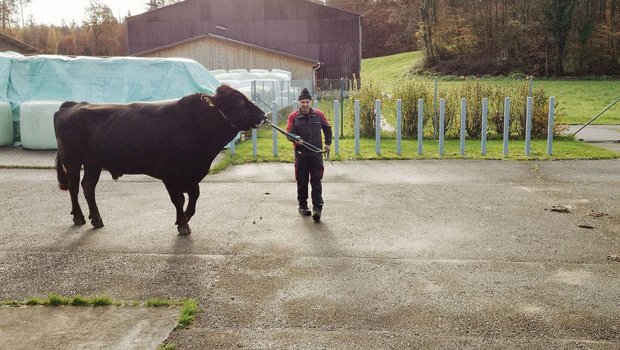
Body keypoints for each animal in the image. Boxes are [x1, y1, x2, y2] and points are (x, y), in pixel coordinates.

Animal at [53, 83, 264, 234]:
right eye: (239, 102)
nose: (262, 114)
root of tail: (72, 104)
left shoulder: (191, 174)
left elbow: (194, 195)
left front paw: (185, 217)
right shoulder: (170, 175)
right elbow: (178, 199)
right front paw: (183, 224)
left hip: (93, 163)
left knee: (88, 187)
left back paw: (96, 219)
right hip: (72, 160)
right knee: (73, 187)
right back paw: (79, 217)